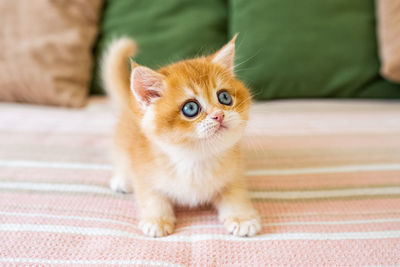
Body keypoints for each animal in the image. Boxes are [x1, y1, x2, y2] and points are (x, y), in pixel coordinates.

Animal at [101, 35, 260, 239]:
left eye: (224, 97)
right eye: (190, 108)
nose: (219, 115)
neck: (195, 159)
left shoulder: (234, 172)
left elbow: (236, 194)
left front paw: (242, 218)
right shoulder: (144, 171)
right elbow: (152, 196)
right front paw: (157, 220)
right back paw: (122, 180)